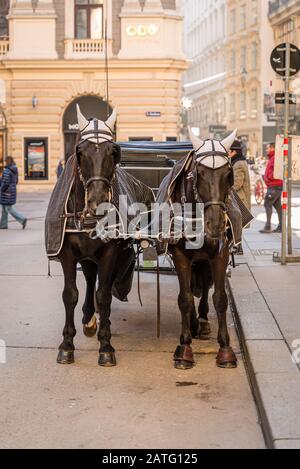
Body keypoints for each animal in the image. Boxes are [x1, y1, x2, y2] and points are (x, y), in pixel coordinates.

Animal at [51, 106, 154, 366]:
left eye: (113, 151)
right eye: (80, 151)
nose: (97, 202)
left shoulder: (109, 252)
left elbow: (105, 294)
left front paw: (106, 346)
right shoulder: (67, 254)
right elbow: (70, 294)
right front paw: (67, 345)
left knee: (96, 281)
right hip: (86, 254)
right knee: (89, 277)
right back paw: (88, 318)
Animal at [157, 129, 239, 370]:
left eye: (228, 174)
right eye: (198, 174)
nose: (216, 224)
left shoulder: (220, 254)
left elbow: (219, 298)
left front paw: (225, 349)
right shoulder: (180, 256)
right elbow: (184, 298)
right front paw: (184, 348)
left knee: (203, 286)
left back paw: (201, 322)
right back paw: (193, 324)